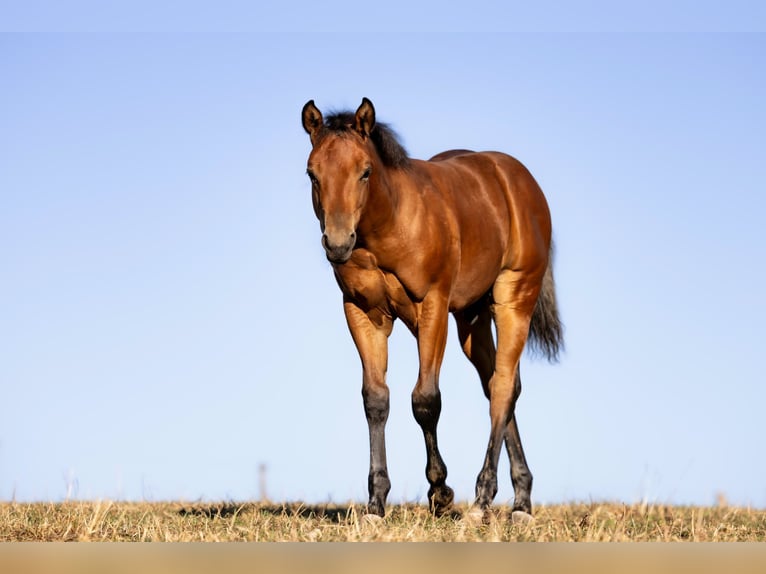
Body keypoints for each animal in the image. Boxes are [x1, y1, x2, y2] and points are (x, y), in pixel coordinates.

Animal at [301, 97, 563, 521]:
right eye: (312, 174)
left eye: (365, 171)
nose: (338, 242)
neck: (390, 227)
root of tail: (518, 179)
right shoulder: (362, 313)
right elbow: (376, 399)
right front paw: (376, 502)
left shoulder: (432, 308)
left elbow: (425, 400)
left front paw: (440, 492)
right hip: (472, 318)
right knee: (499, 384)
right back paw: (521, 498)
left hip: (514, 299)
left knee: (503, 387)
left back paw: (484, 499)